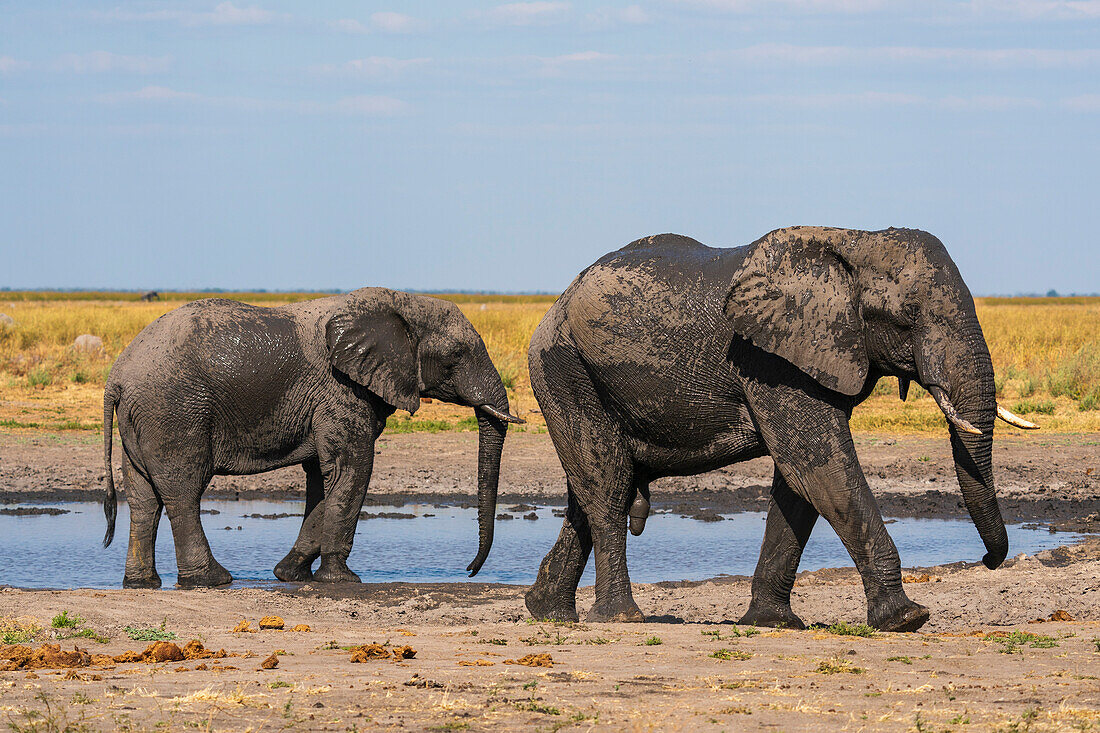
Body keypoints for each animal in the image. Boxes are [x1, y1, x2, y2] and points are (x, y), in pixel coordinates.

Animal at [101, 286, 521, 589]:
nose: (469, 570)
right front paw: (342, 580)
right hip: (175, 411)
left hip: (143, 419)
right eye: (455, 355)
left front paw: (290, 575)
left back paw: (141, 584)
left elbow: (323, 477)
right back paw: (212, 580)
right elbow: (353, 469)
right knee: (183, 491)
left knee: (143, 498)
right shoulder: (339, 390)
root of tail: (116, 378)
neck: (400, 301)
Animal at [523, 224, 1038, 629]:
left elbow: (798, 486)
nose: (988, 561)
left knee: (591, 489)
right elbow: (820, 469)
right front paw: (907, 619)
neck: (854, 241)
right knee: (607, 485)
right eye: (907, 317)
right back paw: (620, 617)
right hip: (563, 367)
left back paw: (548, 612)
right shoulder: (771, 360)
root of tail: (557, 303)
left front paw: (772, 622)